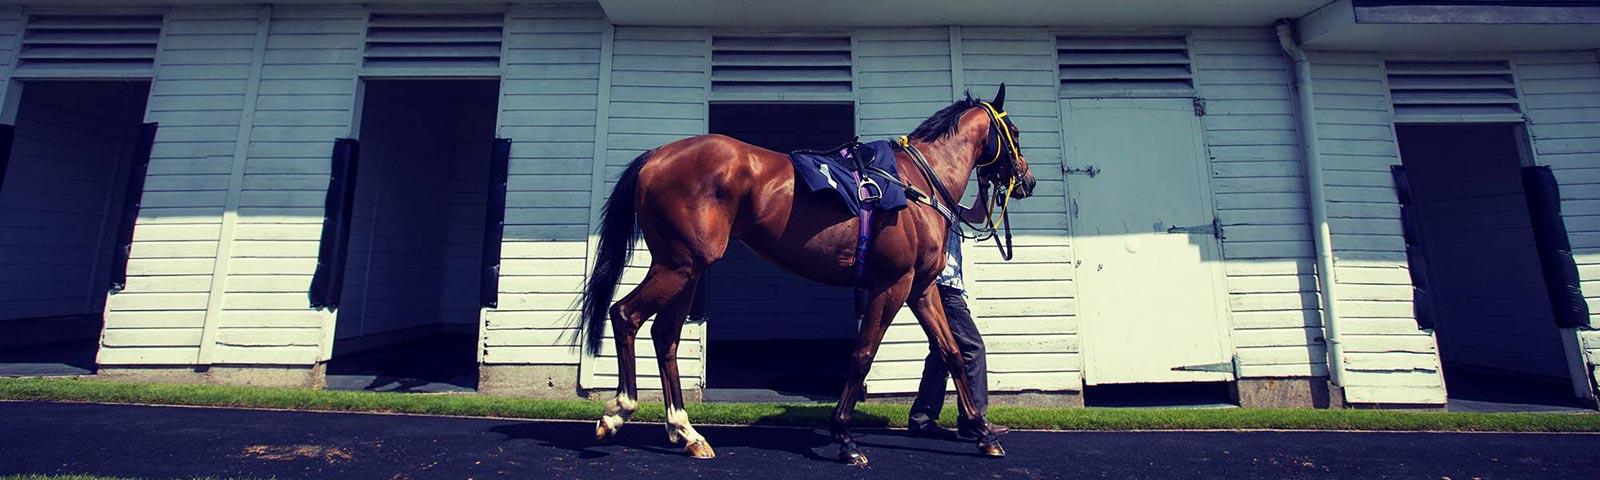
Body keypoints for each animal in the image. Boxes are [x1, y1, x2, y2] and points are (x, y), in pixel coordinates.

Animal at [578, 84, 1037, 465]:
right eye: (1014, 130)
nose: (1027, 180)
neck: (914, 184)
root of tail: (656, 157)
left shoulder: (921, 288)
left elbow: (952, 352)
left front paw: (983, 433)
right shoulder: (892, 284)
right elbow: (863, 355)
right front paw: (845, 439)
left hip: (687, 269)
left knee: (666, 336)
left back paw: (686, 432)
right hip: (679, 265)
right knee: (626, 315)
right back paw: (618, 413)